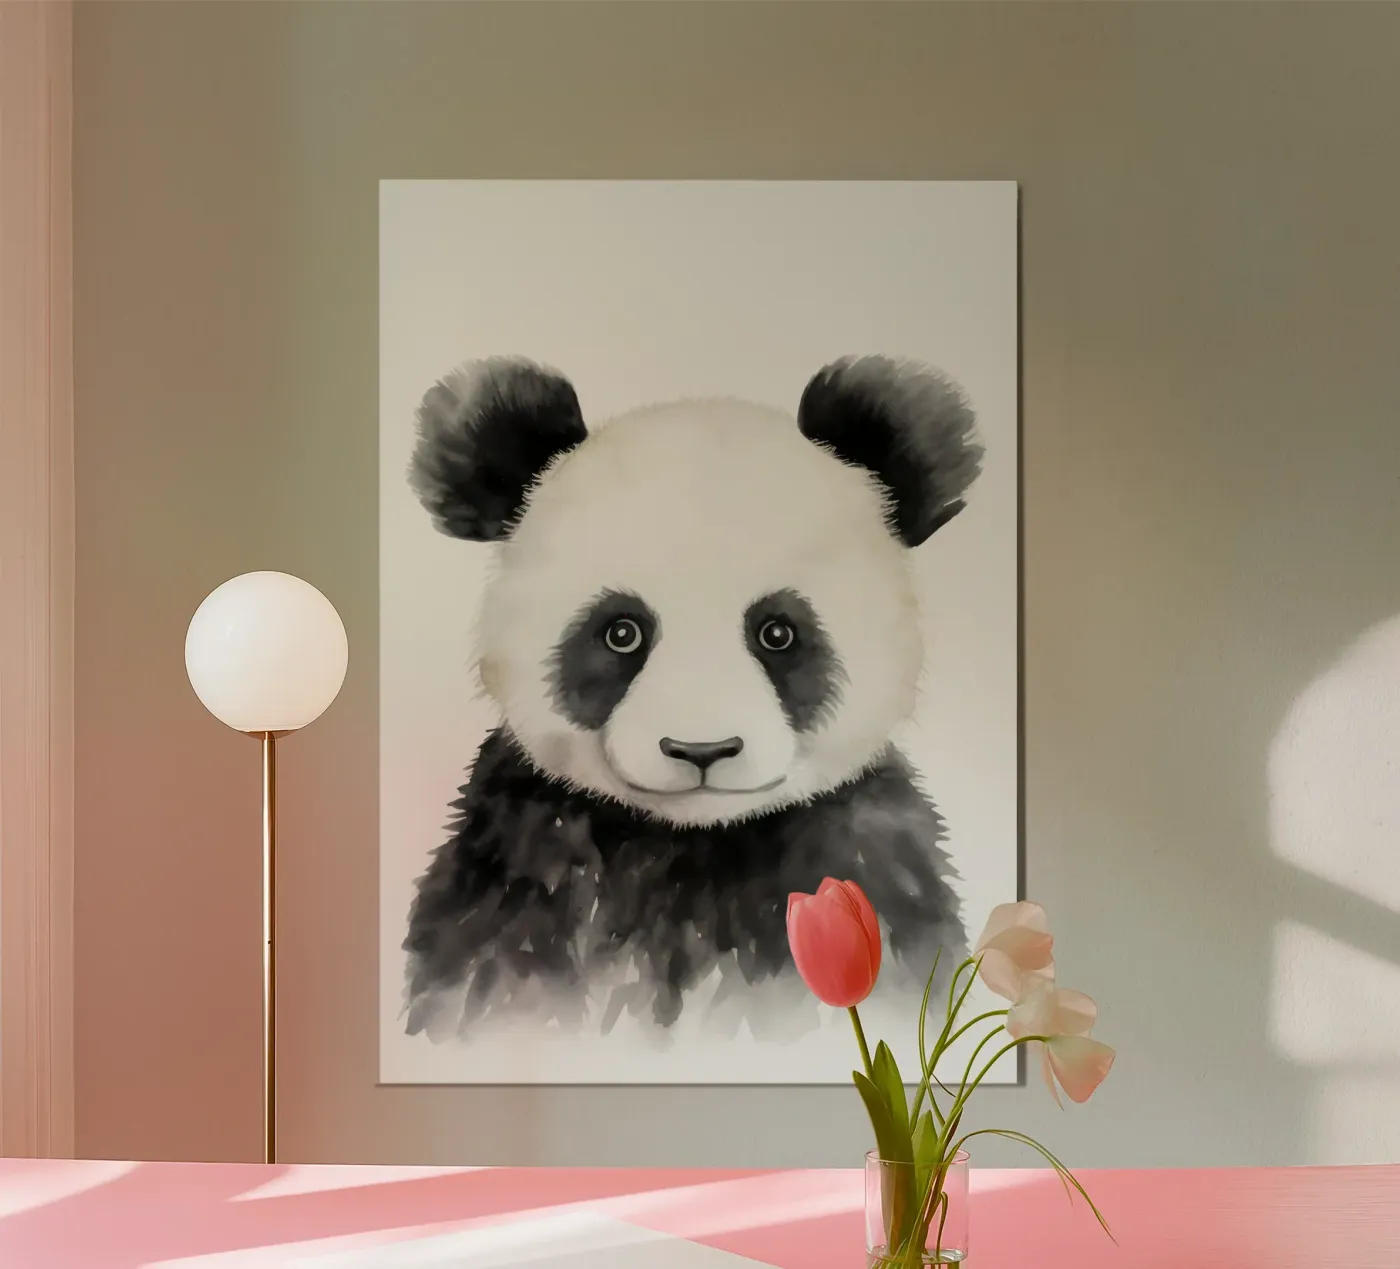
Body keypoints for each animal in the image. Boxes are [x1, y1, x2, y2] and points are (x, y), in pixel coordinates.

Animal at [401, 354, 983, 1041]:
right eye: (621, 632)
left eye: (777, 632)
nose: (701, 750)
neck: (691, 845)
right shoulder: (521, 866)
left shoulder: (867, 865)